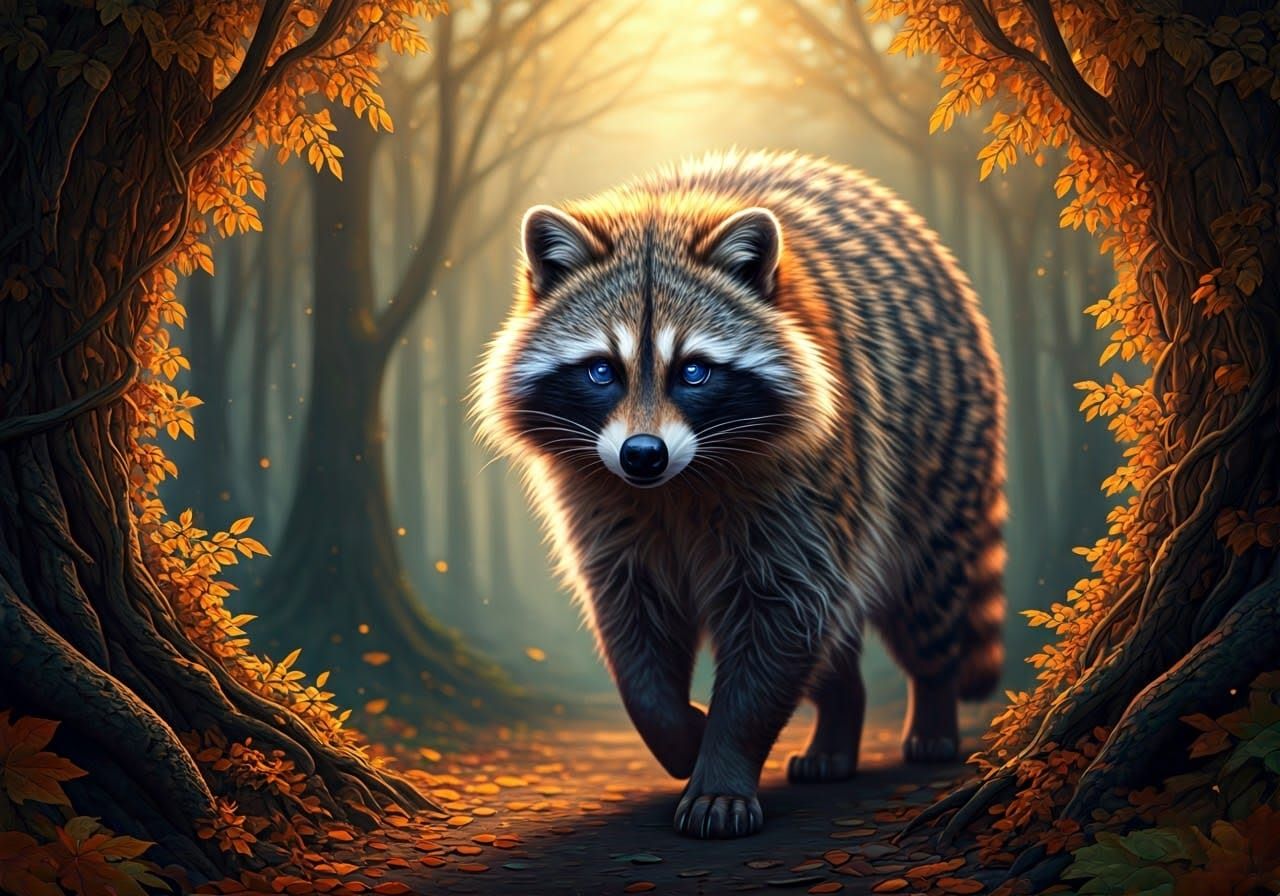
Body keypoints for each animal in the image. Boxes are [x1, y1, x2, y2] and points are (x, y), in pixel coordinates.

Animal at [473, 150, 1006, 839]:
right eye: (602, 370)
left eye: (694, 371)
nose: (642, 454)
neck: (675, 485)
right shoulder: (601, 504)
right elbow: (634, 628)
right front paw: (679, 734)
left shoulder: (809, 482)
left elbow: (782, 615)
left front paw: (722, 765)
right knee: (834, 638)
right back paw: (837, 724)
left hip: (933, 469)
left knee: (926, 601)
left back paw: (934, 709)